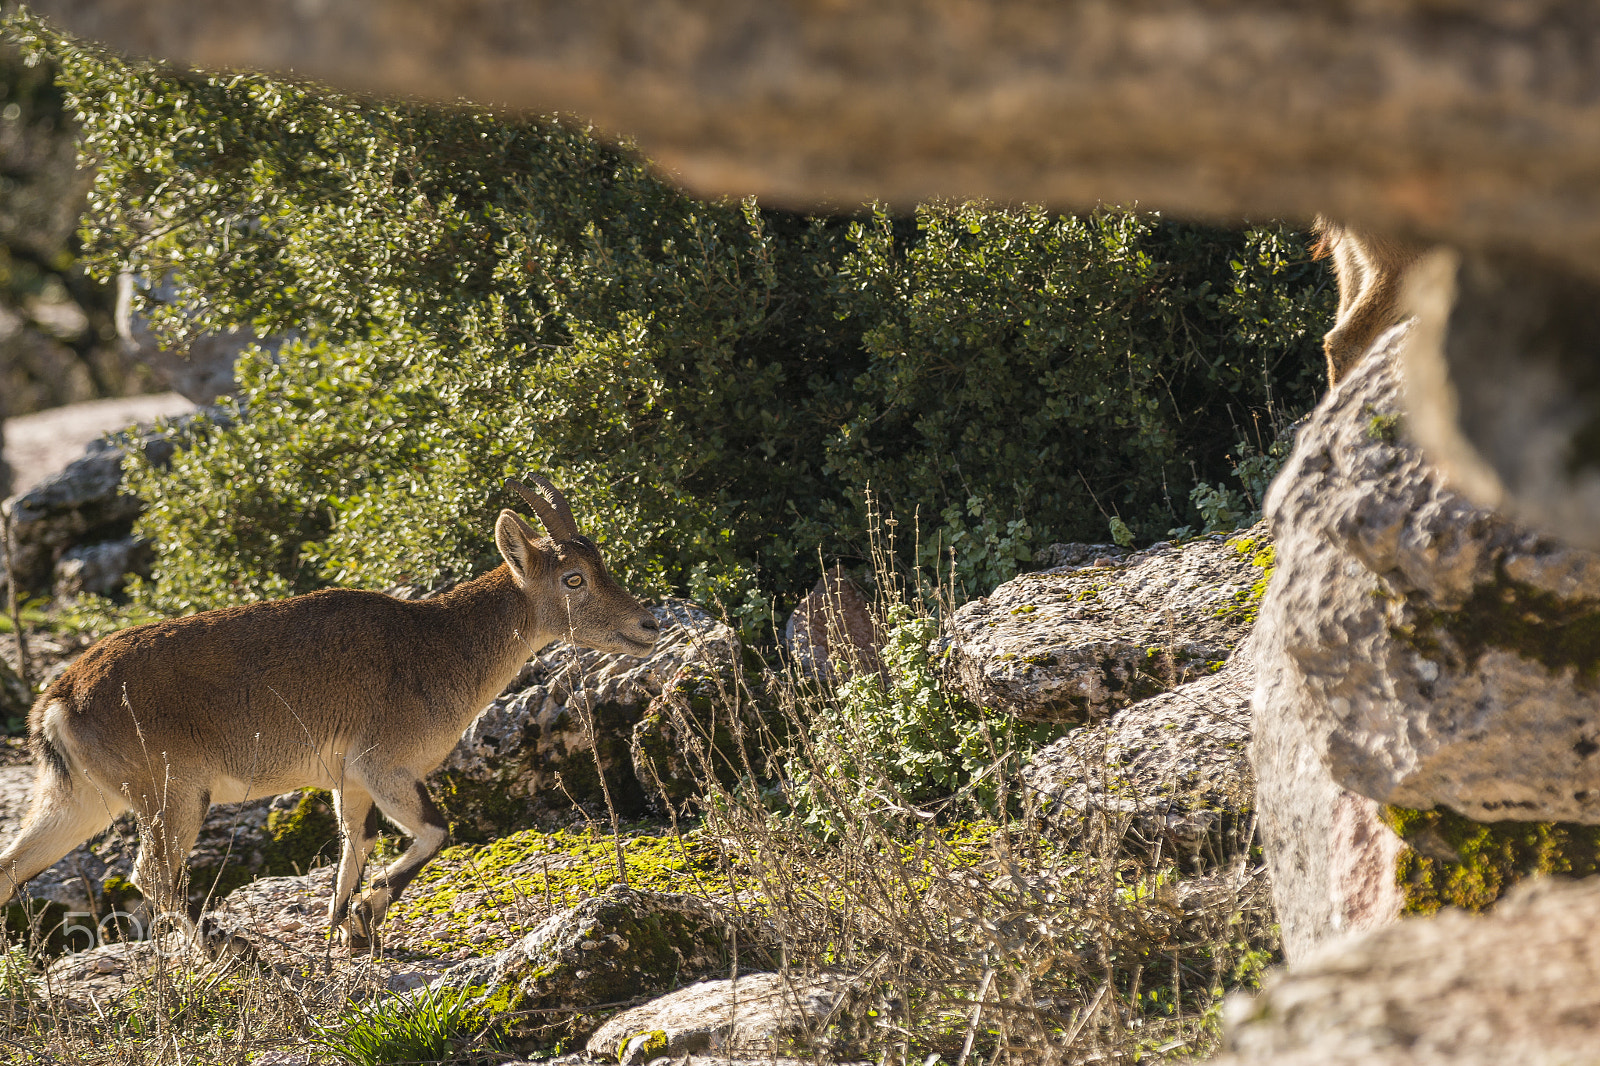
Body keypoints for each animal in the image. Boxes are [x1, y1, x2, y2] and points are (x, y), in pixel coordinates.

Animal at [0, 475, 659, 947]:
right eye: (573, 579)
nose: (649, 625)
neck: (439, 646)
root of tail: (61, 698)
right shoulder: (384, 764)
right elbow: (433, 832)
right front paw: (366, 915)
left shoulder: (349, 779)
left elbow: (355, 844)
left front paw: (344, 928)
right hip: (172, 790)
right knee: (152, 877)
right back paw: (231, 950)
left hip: (81, 800)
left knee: (14, 866)